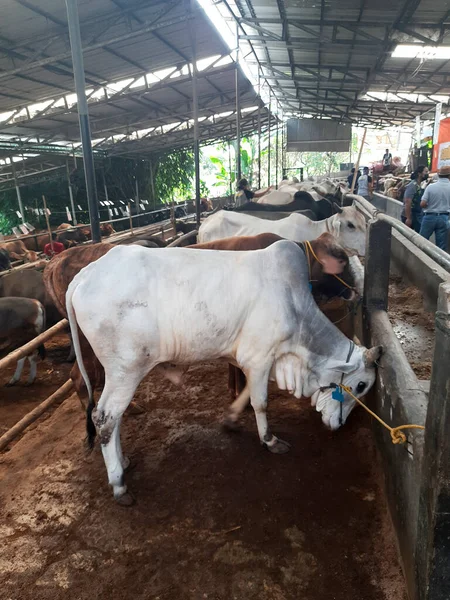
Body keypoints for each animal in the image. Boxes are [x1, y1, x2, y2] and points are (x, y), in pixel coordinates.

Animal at [67, 241, 384, 504]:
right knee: (105, 419)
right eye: (361, 386)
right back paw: (119, 483)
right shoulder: (260, 357)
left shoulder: (252, 360)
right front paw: (270, 440)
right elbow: (261, 403)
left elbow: (245, 396)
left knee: (113, 419)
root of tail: (86, 274)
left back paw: (123, 463)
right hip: (125, 370)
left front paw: (231, 419)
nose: (338, 425)